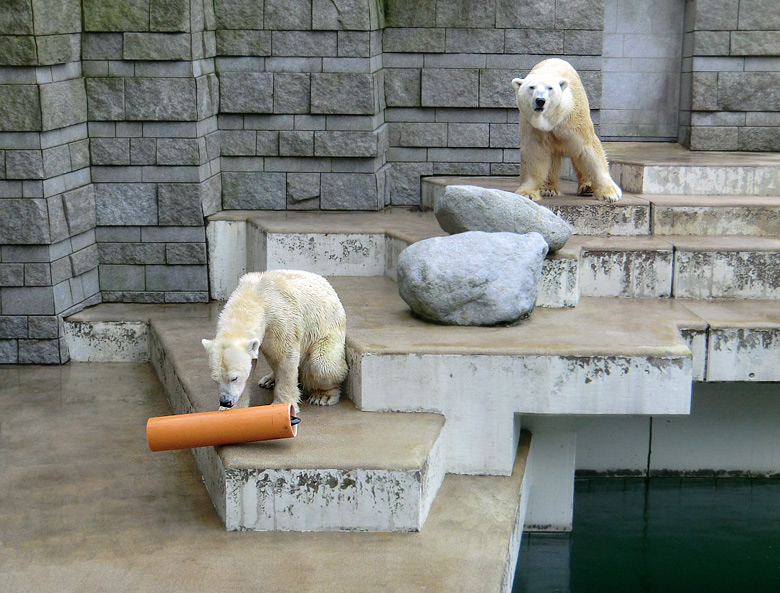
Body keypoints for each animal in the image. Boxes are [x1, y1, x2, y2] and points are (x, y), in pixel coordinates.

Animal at [201, 268, 348, 412]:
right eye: (215, 379)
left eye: (234, 378)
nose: (225, 401)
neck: (254, 296)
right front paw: (231, 409)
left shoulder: (280, 319)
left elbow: (285, 357)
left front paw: (282, 404)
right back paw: (269, 379)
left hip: (328, 333)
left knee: (322, 365)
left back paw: (323, 395)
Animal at [512, 58, 620, 204]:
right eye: (531, 87)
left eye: (550, 88)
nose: (540, 100)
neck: (552, 120)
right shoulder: (533, 127)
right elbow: (534, 153)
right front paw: (526, 193)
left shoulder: (574, 120)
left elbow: (588, 149)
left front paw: (610, 194)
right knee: (553, 159)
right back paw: (549, 188)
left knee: (578, 157)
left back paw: (586, 187)